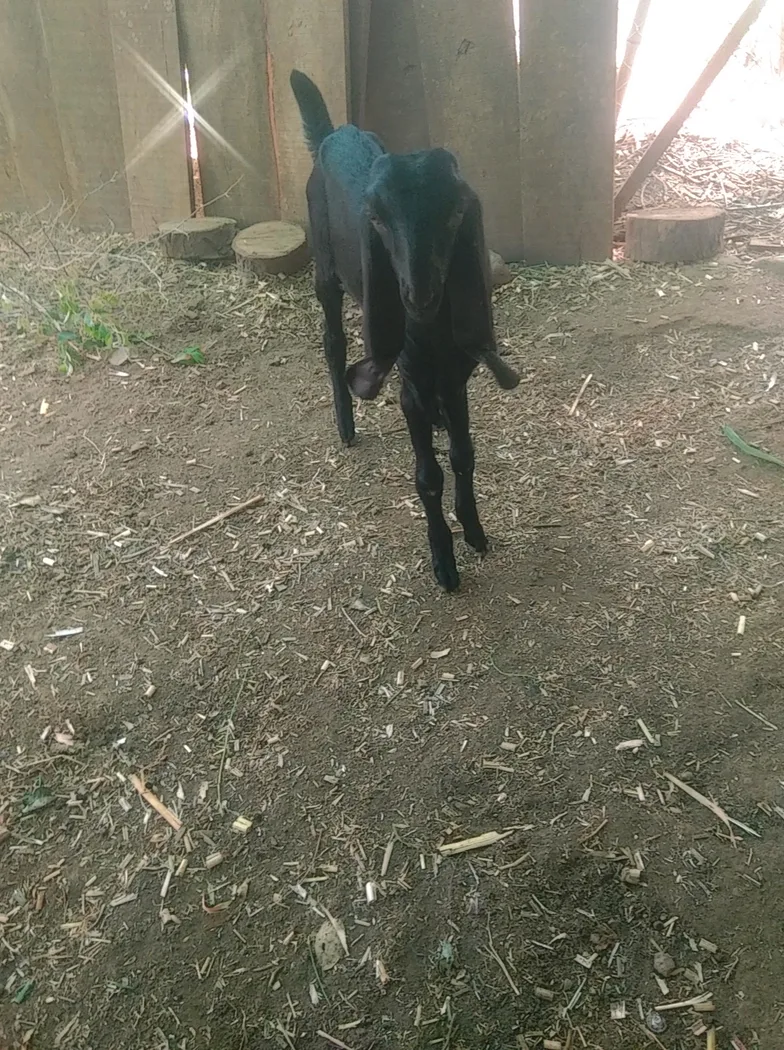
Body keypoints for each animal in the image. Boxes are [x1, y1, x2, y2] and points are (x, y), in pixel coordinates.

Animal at [290, 69, 519, 592]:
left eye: (456, 213)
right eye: (376, 218)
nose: (418, 295)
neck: (432, 335)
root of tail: (333, 134)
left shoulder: (457, 376)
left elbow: (463, 453)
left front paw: (475, 531)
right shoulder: (410, 382)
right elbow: (428, 477)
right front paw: (444, 563)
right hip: (325, 267)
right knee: (333, 341)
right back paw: (346, 425)